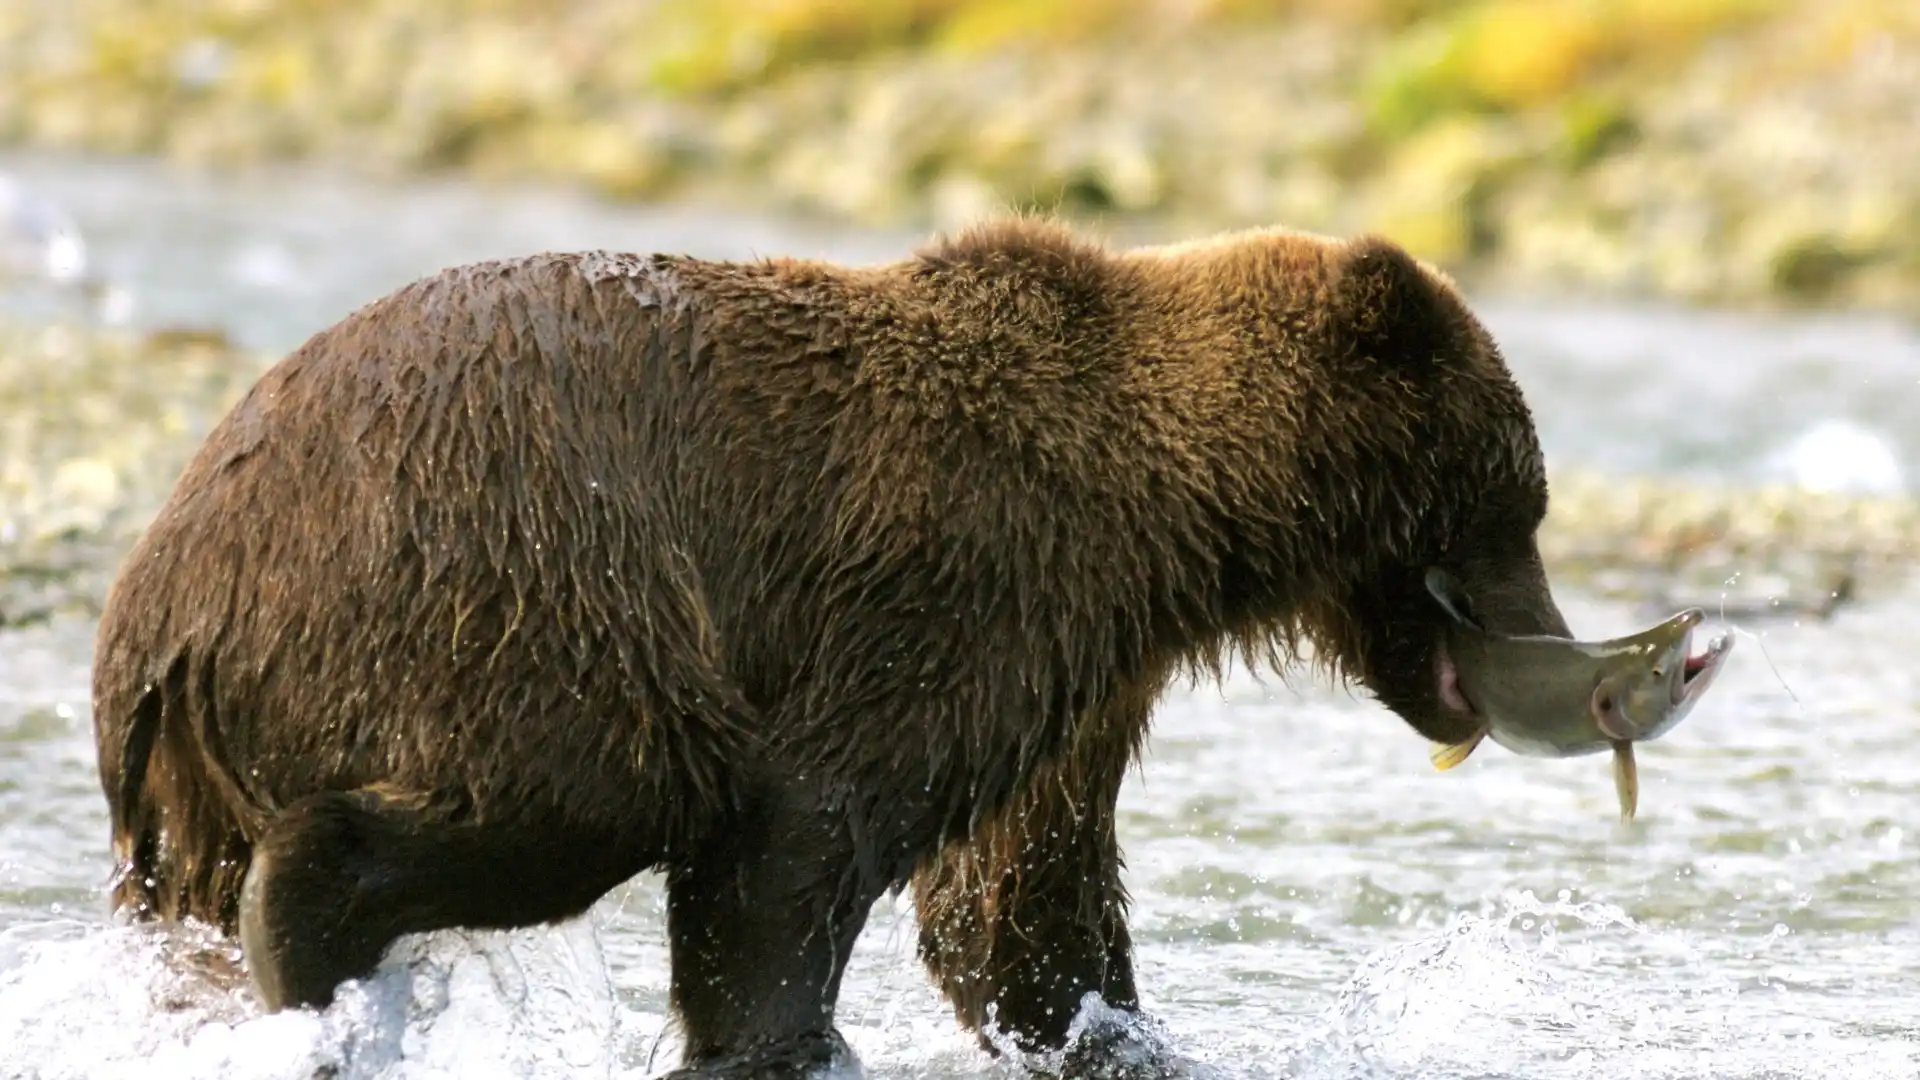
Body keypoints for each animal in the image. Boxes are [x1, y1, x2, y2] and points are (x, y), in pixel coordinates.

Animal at [91, 216, 1571, 1077]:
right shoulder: (955, 570)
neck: (1182, 517)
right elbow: (805, 825)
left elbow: (1020, 893)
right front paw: (792, 1040)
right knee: (605, 781)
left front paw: (1128, 1036)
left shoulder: (1079, 657)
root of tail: (167, 610)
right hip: (507, 579)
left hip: (203, 769)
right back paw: (305, 933)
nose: (1562, 647)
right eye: (1517, 503)